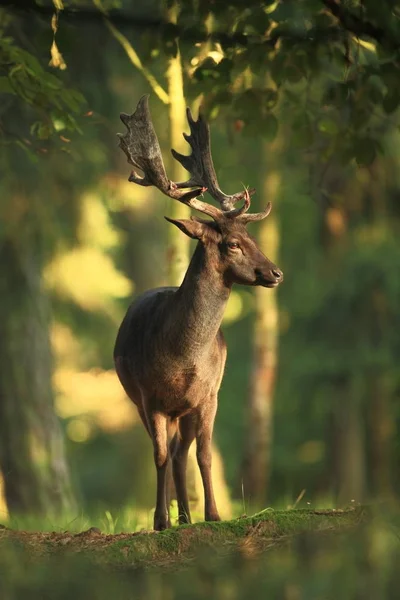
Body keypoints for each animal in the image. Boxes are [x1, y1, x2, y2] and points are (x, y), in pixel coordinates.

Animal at [112, 95, 282, 528]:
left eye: (252, 237)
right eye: (234, 244)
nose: (276, 272)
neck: (183, 358)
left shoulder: (209, 395)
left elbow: (203, 455)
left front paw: (214, 515)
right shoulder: (149, 396)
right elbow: (157, 454)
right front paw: (160, 521)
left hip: (186, 409)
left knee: (181, 452)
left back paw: (189, 516)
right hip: (139, 400)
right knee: (168, 452)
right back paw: (177, 516)